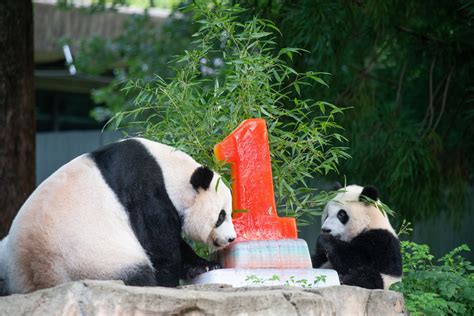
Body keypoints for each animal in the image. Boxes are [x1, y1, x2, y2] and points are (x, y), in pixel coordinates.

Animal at [0, 138, 236, 294]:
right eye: (221, 216)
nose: (231, 238)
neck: (169, 172)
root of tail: (40, 277)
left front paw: (205, 265)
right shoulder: (145, 193)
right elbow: (160, 245)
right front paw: (168, 282)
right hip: (93, 259)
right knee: (134, 271)